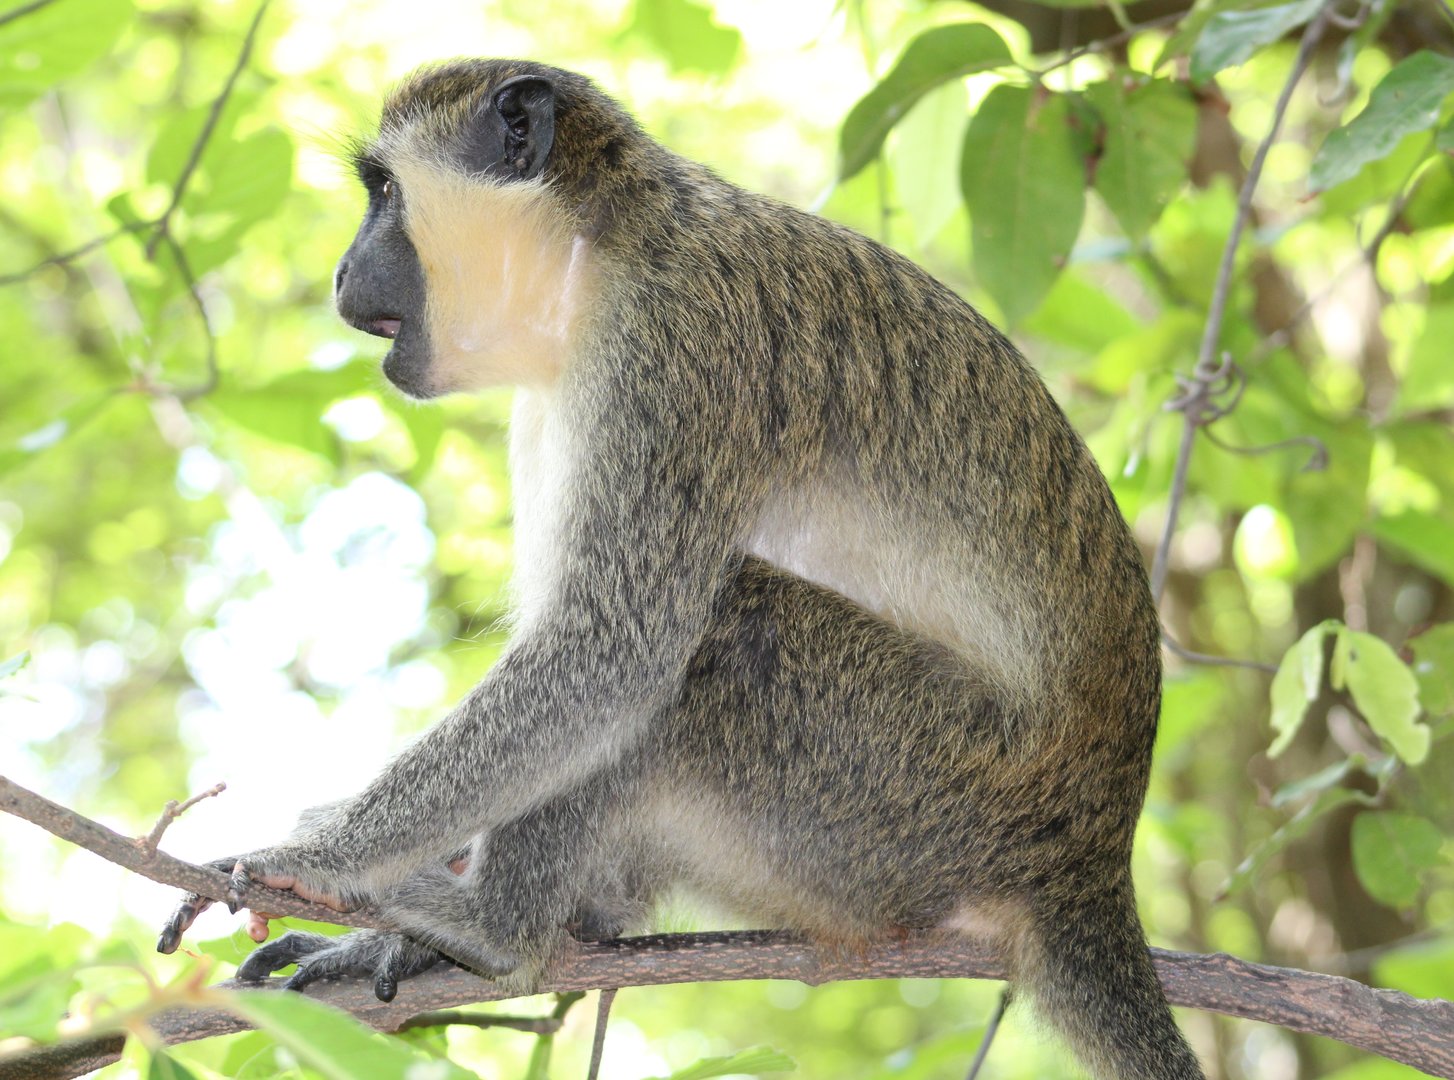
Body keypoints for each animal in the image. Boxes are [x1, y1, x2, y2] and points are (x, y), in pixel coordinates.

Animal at [156, 60, 1204, 1079]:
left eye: (380, 190)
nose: (341, 270)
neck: (600, 251)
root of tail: (1093, 859)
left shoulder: (672, 350)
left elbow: (605, 658)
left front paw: (321, 854)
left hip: (925, 795)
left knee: (717, 631)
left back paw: (497, 931)